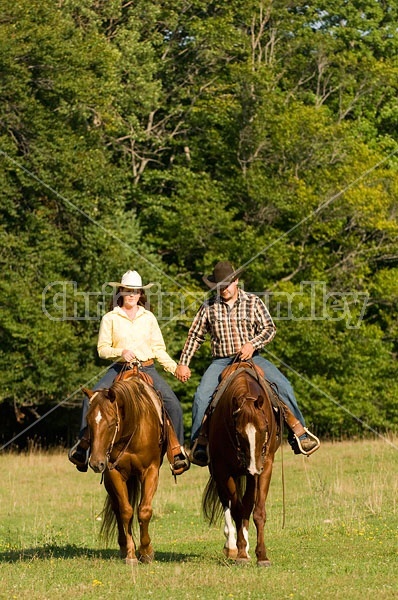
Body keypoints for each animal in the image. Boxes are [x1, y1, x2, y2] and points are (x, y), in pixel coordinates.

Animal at [84, 378, 165, 564]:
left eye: (111, 423)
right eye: (89, 423)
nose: (96, 463)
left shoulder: (151, 471)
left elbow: (144, 511)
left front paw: (146, 551)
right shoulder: (114, 473)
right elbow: (126, 511)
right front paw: (131, 553)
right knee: (116, 508)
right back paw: (123, 546)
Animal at [202, 360, 280, 568]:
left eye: (264, 428)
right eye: (238, 432)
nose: (253, 467)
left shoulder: (264, 466)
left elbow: (257, 511)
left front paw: (262, 555)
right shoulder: (224, 471)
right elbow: (236, 510)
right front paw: (241, 553)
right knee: (228, 503)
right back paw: (232, 546)